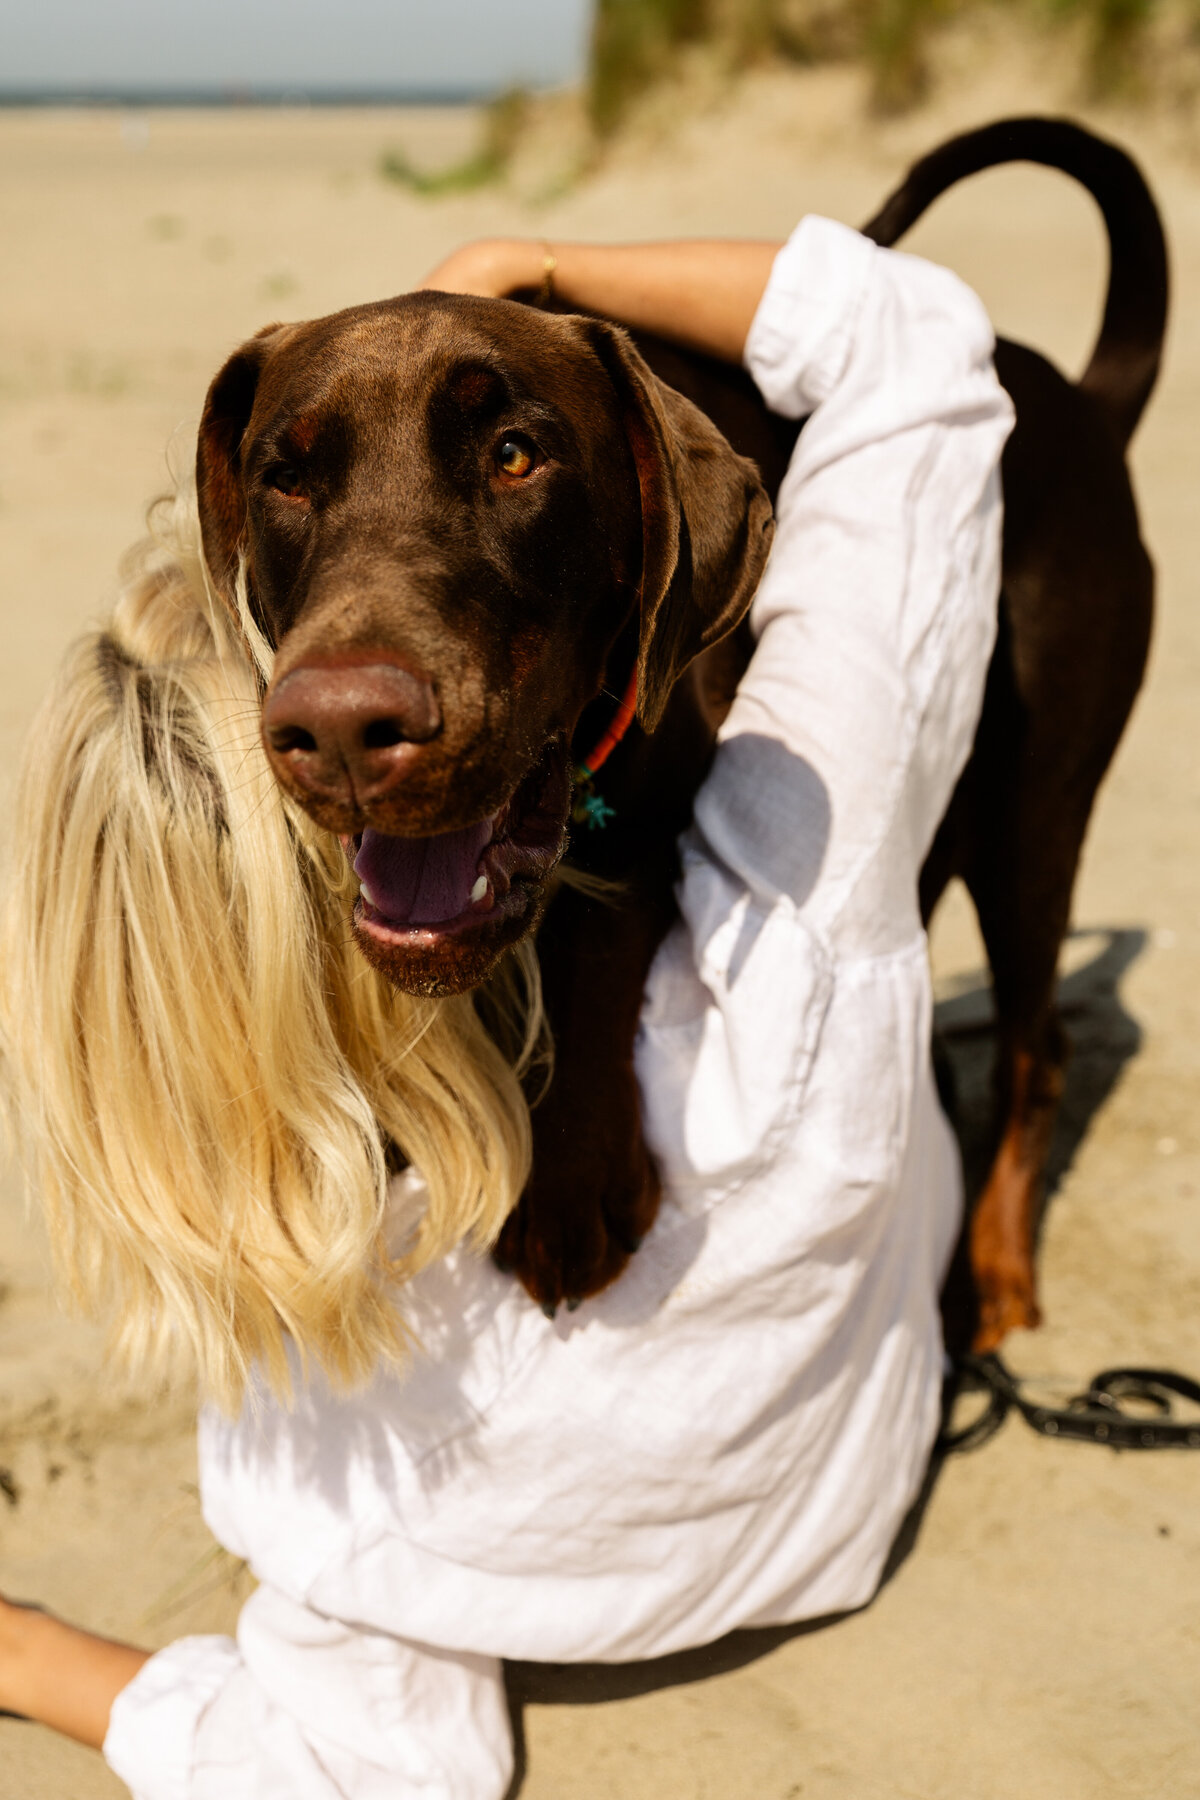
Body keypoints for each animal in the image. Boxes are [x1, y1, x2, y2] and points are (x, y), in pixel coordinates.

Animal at [195, 112, 1165, 1353]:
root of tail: (1086, 402)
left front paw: (568, 1183)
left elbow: (603, 931)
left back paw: (995, 1270)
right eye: (285, 475)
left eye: (516, 454)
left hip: (1035, 810)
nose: (346, 727)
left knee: (1039, 1047)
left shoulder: (664, 802)